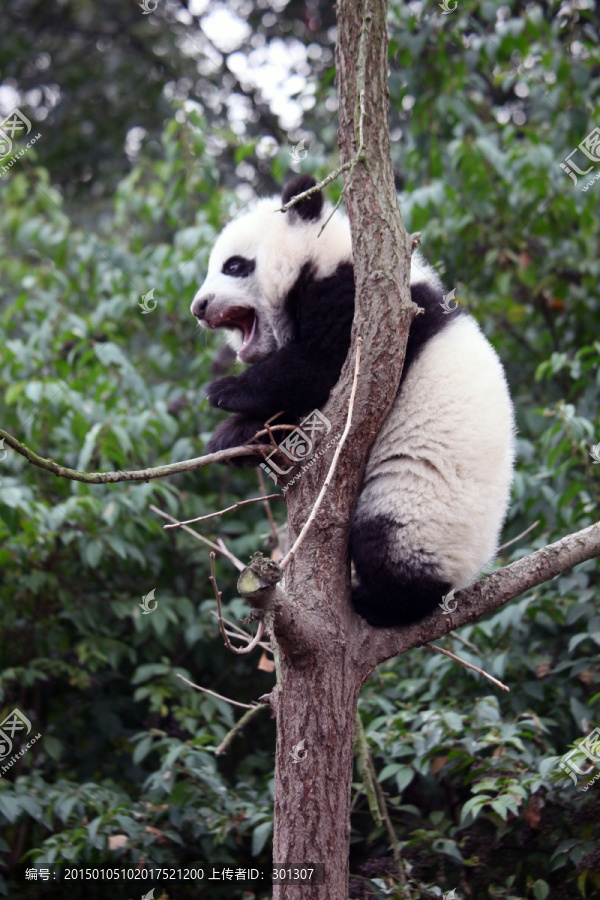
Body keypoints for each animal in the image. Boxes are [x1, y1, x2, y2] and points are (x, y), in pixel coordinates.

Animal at [191, 174, 516, 624]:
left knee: (389, 540)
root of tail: (468, 573)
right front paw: (234, 437)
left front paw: (226, 391)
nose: (199, 307)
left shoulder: (363, 303)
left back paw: (377, 602)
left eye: (235, 265)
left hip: (426, 502)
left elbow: (322, 365)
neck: (323, 255)